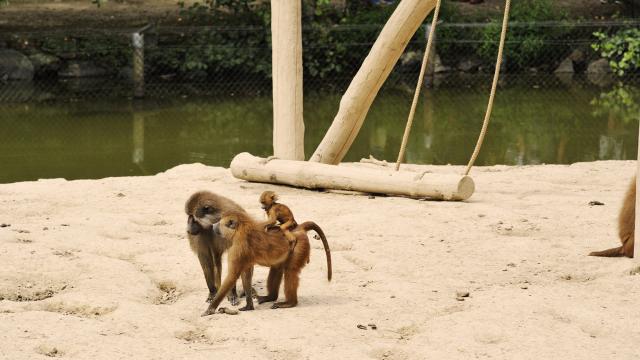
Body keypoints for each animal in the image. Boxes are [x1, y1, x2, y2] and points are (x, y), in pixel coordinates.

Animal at [202, 211, 332, 316]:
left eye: (219, 222)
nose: (213, 225)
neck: (240, 230)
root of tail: (298, 229)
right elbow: (246, 274)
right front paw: (249, 306)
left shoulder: (238, 247)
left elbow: (232, 276)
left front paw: (210, 309)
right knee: (277, 268)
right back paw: (271, 297)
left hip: (299, 246)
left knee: (290, 272)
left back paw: (290, 303)